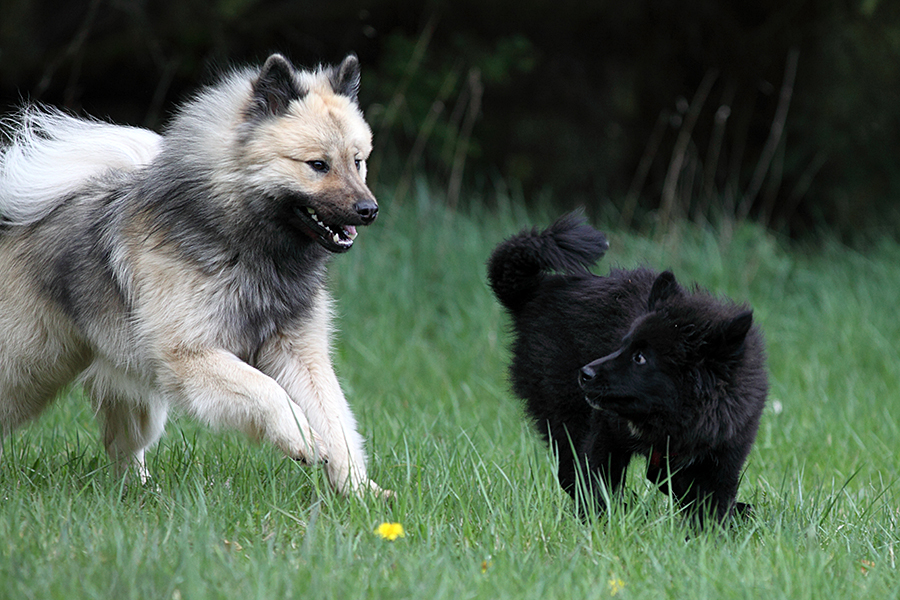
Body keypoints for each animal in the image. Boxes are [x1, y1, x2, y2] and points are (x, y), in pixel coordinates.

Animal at [0, 55, 386, 496]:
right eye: (318, 165)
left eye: (357, 160)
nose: (369, 210)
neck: (247, 246)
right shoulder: (192, 355)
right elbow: (269, 393)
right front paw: (301, 439)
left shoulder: (300, 354)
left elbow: (335, 422)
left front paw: (361, 493)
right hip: (25, 368)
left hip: (132, 393)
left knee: (123, 447)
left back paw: (141, 492)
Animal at [488, 213, 768, 524]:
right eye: (623, 345)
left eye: (640, 358)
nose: (584, 374)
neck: (672, 419)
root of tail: (535, 291)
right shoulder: (605, 434)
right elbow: (596, 481)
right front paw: (599, 523)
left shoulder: (725, 454)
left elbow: (710, 501)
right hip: (563, 412)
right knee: (569, 471)